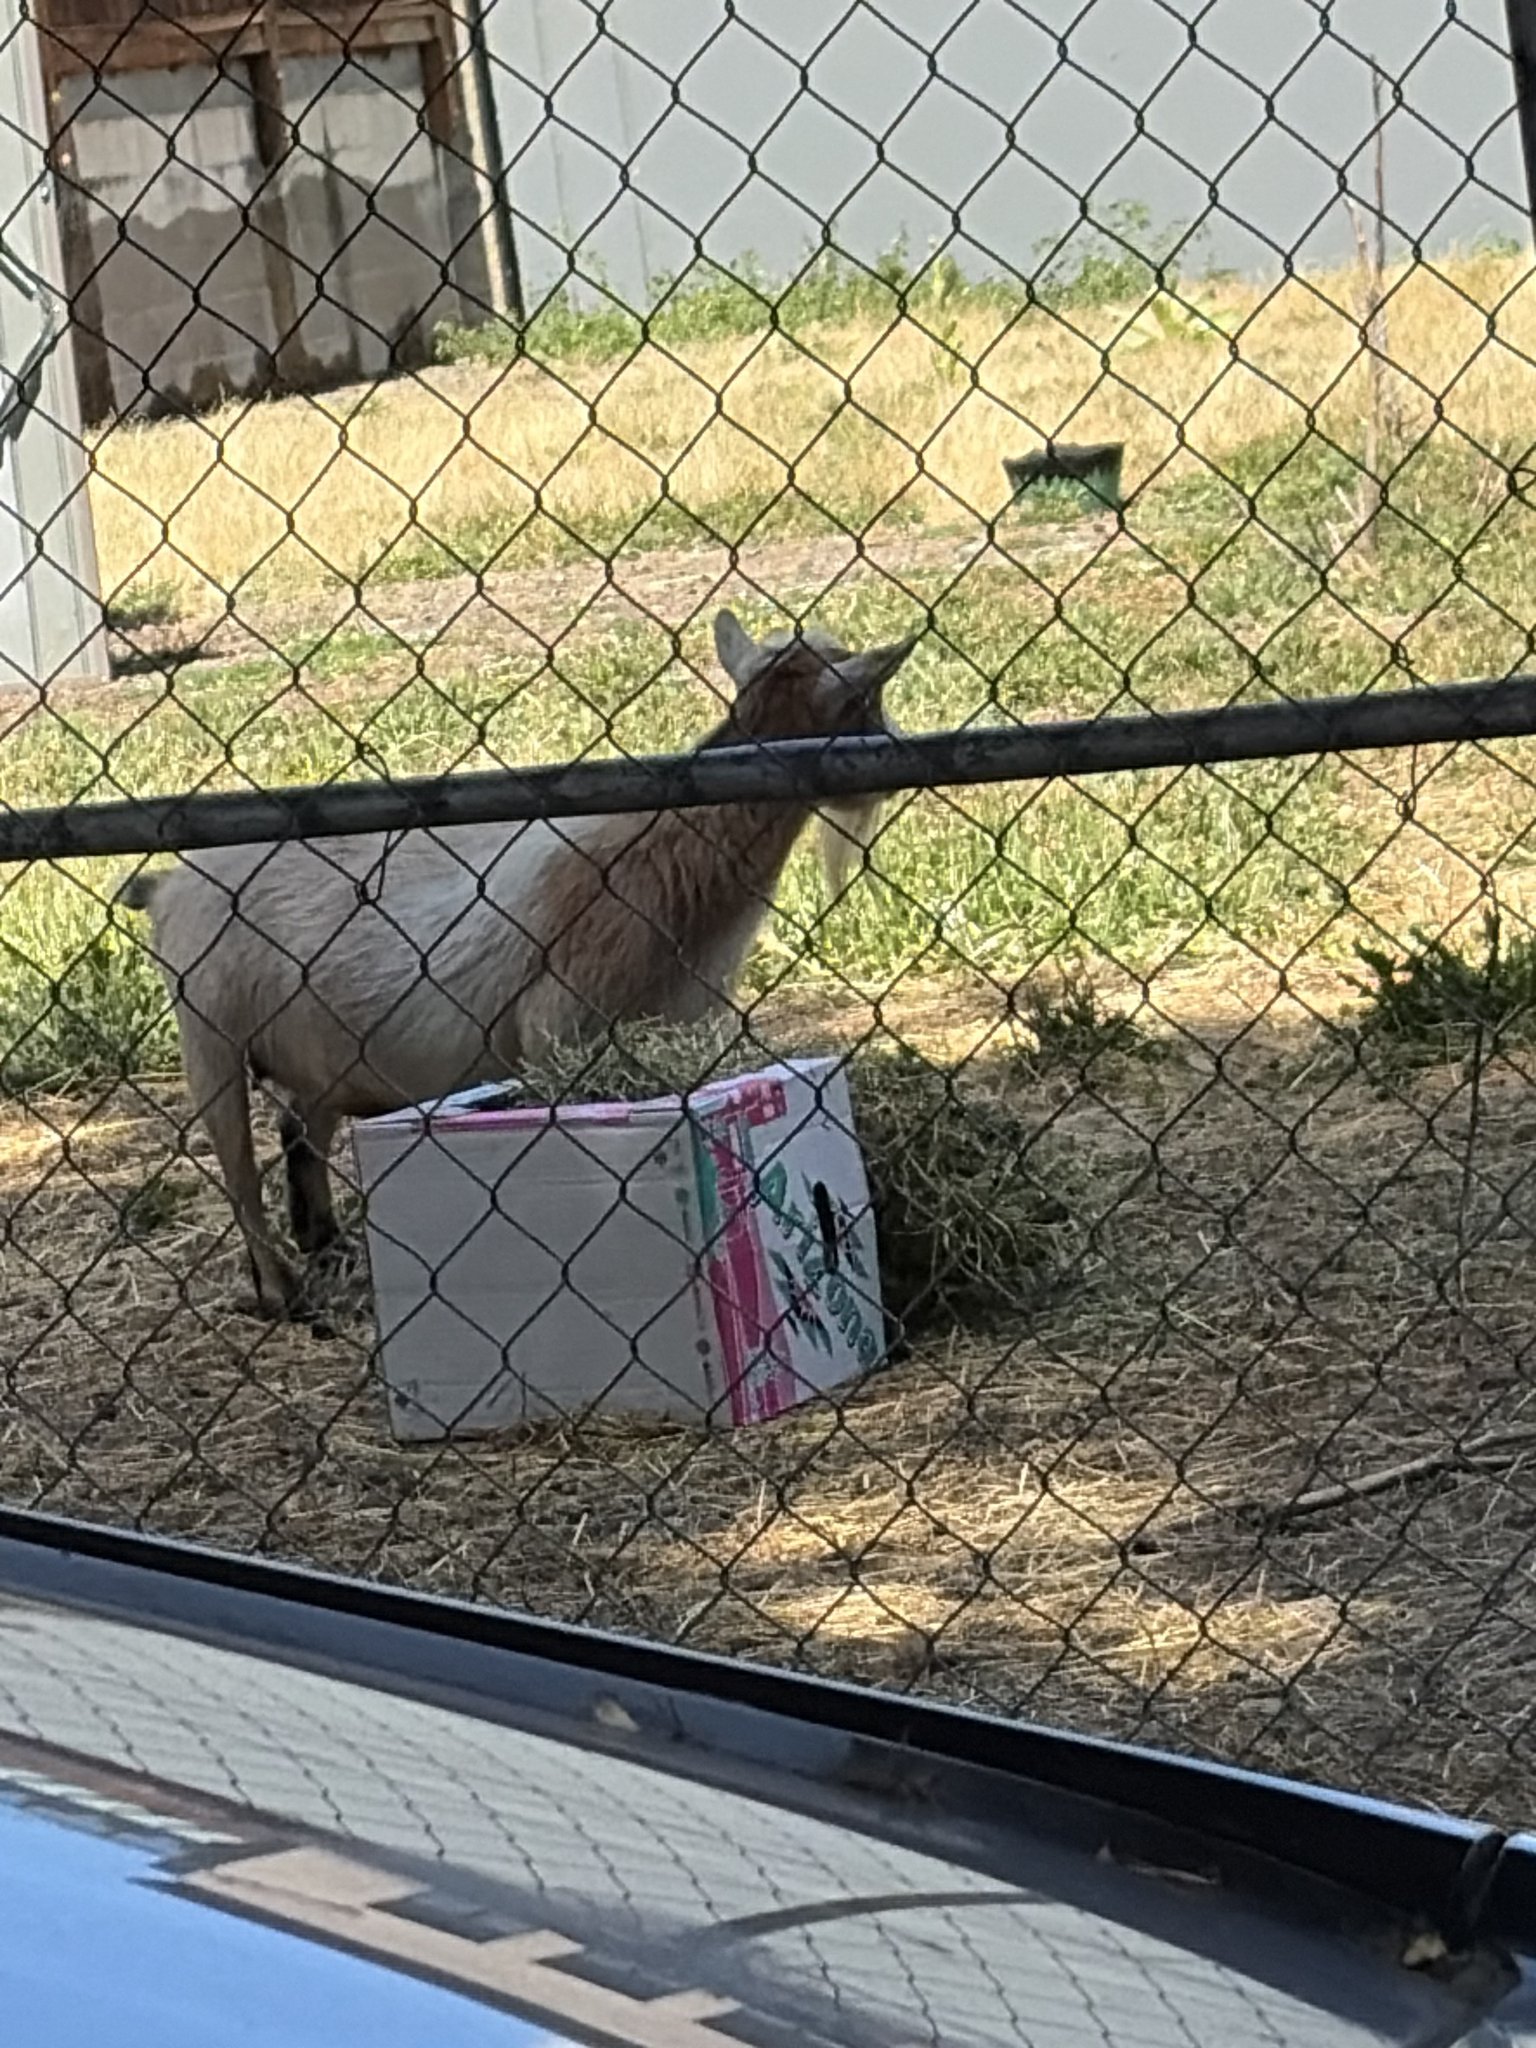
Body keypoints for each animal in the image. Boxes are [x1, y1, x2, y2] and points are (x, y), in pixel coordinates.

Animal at [118, 609, 919, 1320]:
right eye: (867, 701)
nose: (897, 759)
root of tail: (168, 883)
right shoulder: (557, 1026)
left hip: (321, 1056)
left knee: (297, 1132)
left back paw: (325, 1247)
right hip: (209, 1037)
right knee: (238, 1175)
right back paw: (282, 1293)